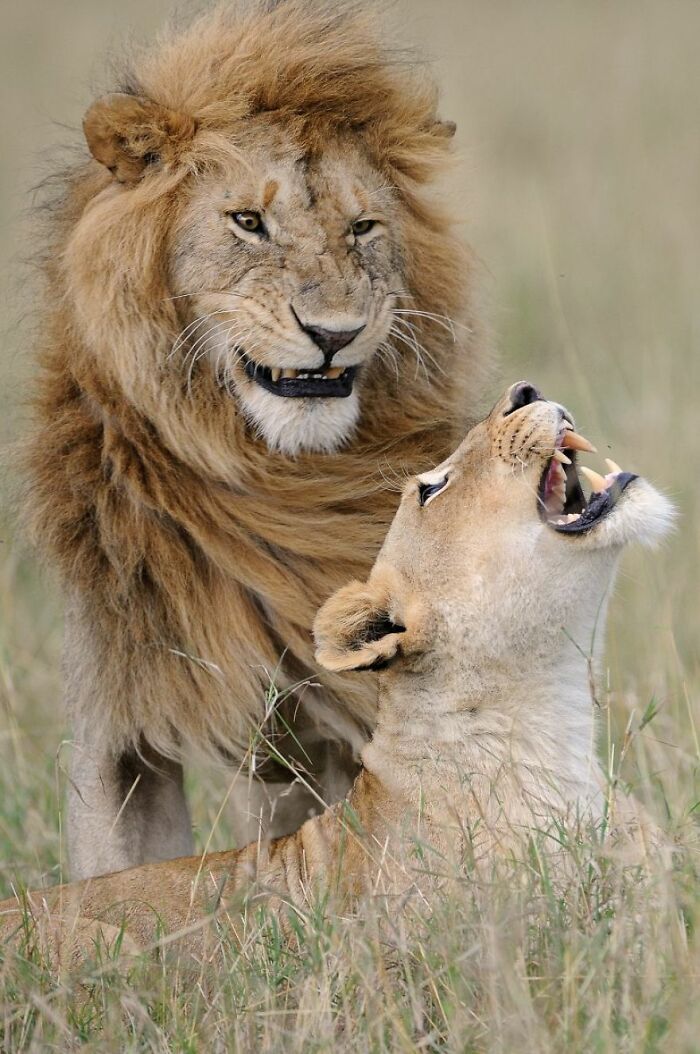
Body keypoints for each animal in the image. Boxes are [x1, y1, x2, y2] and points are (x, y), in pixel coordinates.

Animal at [21, 0, 491, 879]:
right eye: (248, 222)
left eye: (363, 227)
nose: (333, 333)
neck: (280, 477)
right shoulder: (115, 726)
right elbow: (115, 872)